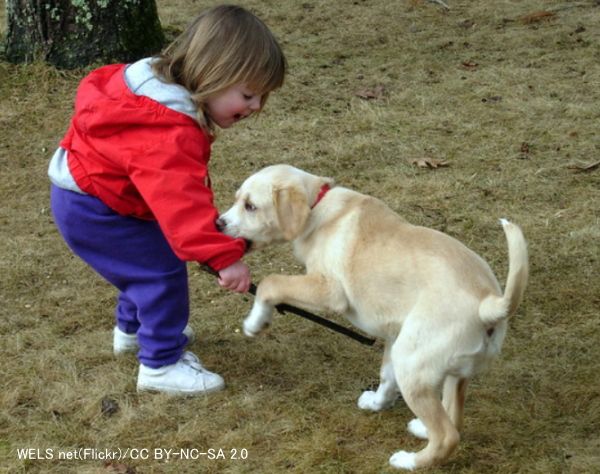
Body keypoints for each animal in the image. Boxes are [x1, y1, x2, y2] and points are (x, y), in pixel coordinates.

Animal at [218, 165, 528, 468]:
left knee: (447, 436)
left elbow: (270, 283)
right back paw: (421, 429)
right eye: (237, 200)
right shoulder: (393, 334)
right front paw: (376, 403)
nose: (218, 223)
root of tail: (488, 303)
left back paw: (408, 460)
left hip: (411, 361)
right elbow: (386, 377)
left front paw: (255, 322)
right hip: (441, 364)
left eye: (250, 206)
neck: (317, 205)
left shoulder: (329, 291)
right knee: (452, 414)